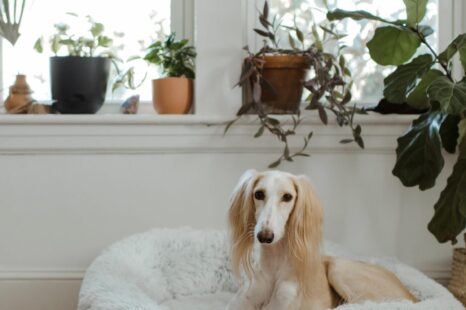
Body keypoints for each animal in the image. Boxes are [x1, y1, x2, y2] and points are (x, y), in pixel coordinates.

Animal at [226, 170, 416, 310]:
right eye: (258, 194)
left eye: (287, 196)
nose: (265, 236)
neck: (274, 267)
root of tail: (413, 296)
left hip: (340, 269)